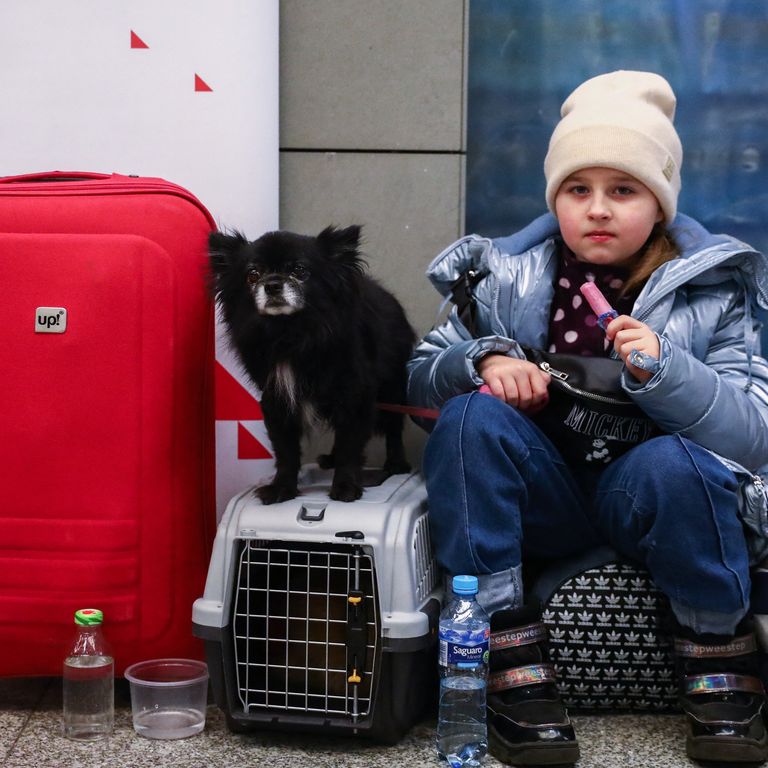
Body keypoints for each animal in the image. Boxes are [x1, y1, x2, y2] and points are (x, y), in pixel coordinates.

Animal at [208, 226, 414, 504]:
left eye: (299, 271)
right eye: (253, 275)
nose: (272, 284)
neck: (291, 334)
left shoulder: (356, 396)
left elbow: (350, 445)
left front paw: (345, 487)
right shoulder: (276, 400)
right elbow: (285, 451)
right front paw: (282, 488)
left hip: (392, 389)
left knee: (393, 429)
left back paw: (396, 463)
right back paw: (331, 459)